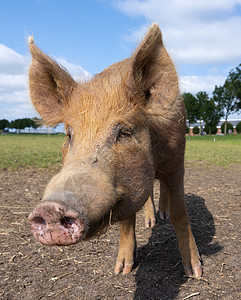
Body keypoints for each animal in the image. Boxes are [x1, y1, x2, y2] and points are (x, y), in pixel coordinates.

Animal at [27, 23, 201, 276]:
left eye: (125, 131)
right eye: (69, 134)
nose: (50, 207)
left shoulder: (177, 160)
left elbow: (181, 214)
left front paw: (194, 272)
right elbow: (127, 221)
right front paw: (122, 270)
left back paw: (163, 216)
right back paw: (151, 222)